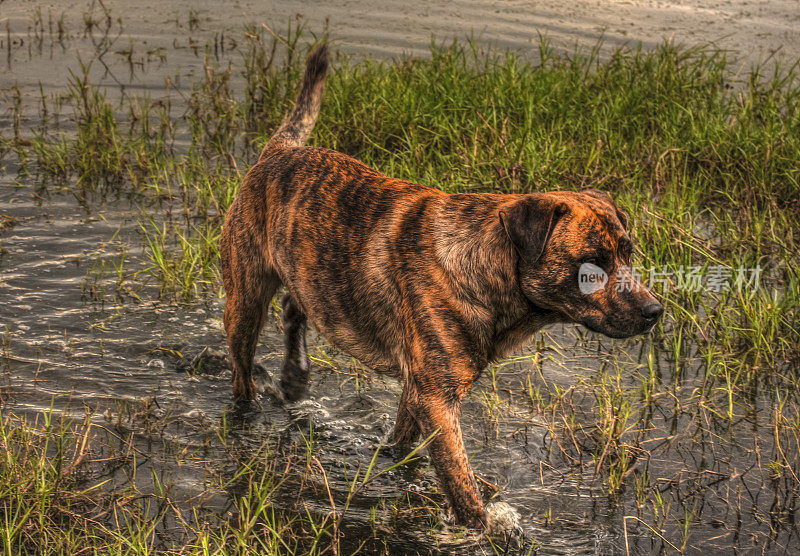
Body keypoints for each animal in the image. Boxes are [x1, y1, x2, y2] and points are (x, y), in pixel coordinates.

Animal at [220, 45, 664, 528]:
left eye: (629, 252)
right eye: (591, 267)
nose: (655, 311)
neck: (485, 265)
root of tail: (278, 151)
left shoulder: (419, 390)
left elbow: (403, 441)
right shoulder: (436, 399)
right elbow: (462, 486)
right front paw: (486, 530)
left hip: (308, 273)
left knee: (294, 305)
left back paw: (294, 374)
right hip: (244, 298)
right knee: (244, 366)